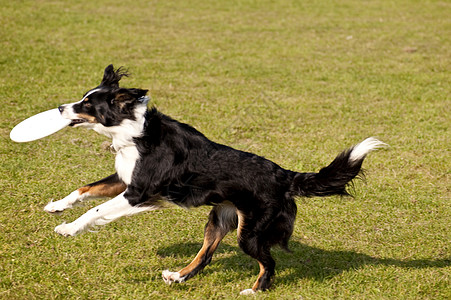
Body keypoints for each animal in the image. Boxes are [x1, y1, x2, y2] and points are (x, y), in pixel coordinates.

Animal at [44, 64, 386, 294]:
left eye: (88, 104)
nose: (60, 107)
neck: (135, 131)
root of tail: (285, 176)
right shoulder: (124, 179)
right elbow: (84, 189)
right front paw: (57, 207)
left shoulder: (139, 192)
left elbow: (95, 209)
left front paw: (68, 228)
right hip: (220, 218)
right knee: (206, 255)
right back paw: (178, 276)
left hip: (250, 232)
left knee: (268, 262)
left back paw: (254, 290)